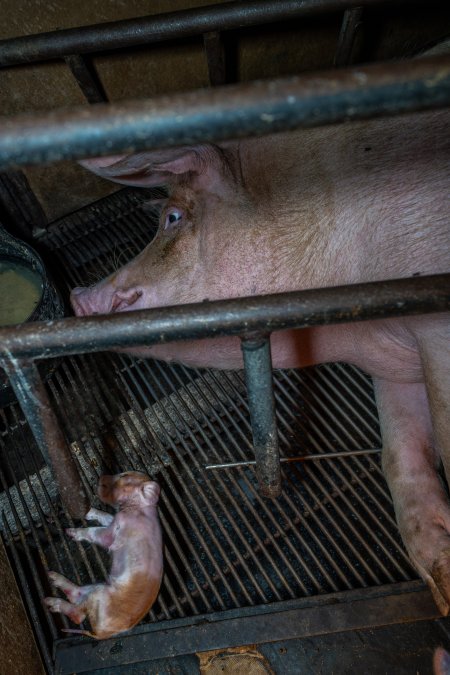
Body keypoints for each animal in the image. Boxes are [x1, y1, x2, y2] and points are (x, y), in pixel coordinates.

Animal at [44, 476, 163, 640]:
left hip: (99, 597)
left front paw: (72, 532)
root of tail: (99, 634)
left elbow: (99, 534)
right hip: (99, 587)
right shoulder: (113, 519)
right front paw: (88, 511)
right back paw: (52, 578)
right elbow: (106, 516)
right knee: (76, 596)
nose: (99, 480)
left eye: (125, 478)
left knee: (78, 615)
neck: (139, 509)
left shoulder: (117, 527)